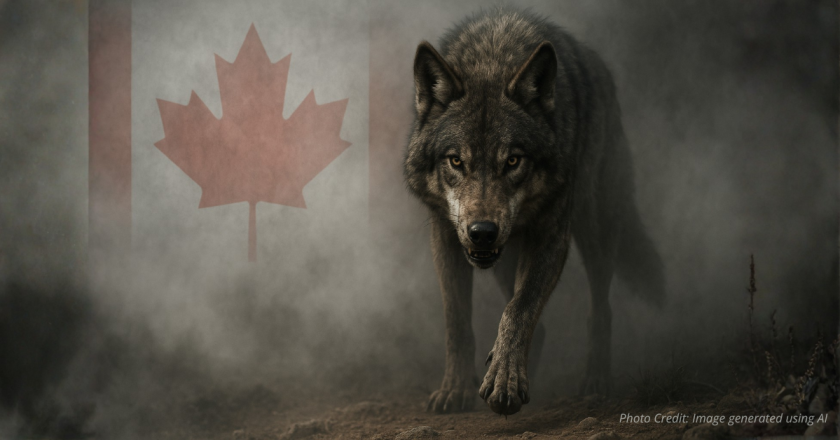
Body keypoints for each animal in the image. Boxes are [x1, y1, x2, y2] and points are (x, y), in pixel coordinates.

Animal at [403, 7, 665, 416]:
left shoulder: (550, 236)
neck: (492, 59)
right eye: (456, 161)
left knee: (600, 309)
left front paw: (505, 380)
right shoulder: (446, 236)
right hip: (504, 257)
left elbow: (519, 308)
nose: (483, 232)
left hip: (596, 227)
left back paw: (595, 381)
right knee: (537, 323)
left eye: (513, 160)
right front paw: (457, 389)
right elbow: (457, 320)